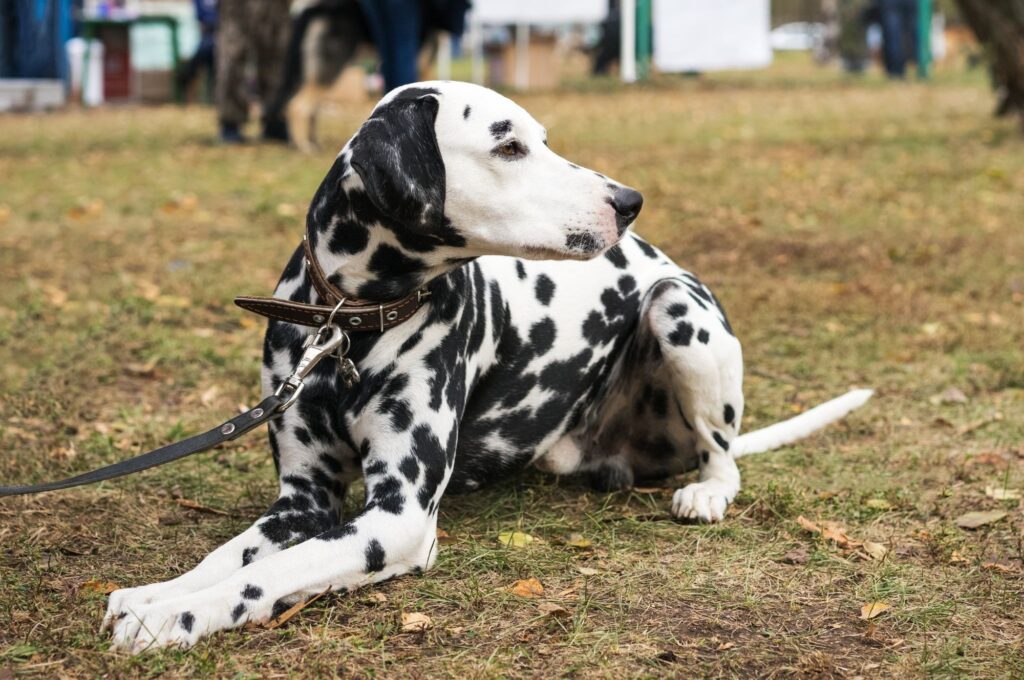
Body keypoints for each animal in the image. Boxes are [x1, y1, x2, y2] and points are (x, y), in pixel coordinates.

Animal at [103, 80, 872, 655]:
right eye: (509, 144)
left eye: (542, 138)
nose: (629, 201)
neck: (350, 326)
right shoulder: (303, 501)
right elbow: (223, 560)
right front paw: (156, 594)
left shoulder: (397, 518)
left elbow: (267, 577)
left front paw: (173, 618)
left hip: (679, 311)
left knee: (725, 456)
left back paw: (707, 492)